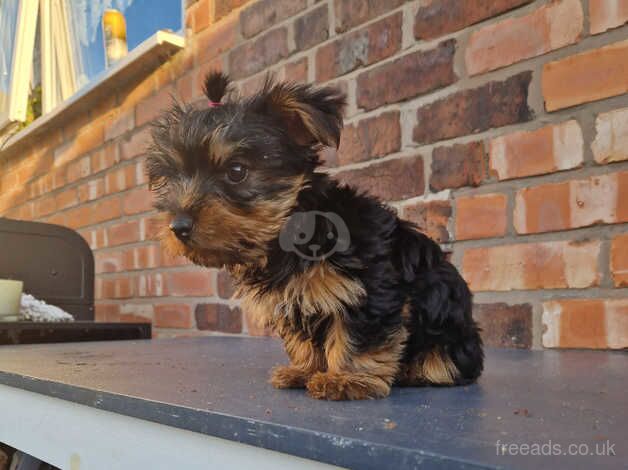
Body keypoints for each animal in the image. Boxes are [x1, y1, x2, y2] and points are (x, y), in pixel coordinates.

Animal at [148, 71, 486, 398]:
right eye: (173, 177)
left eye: (236, 171)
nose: (178, 225)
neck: (291, 232)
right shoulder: (294, 300)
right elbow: (303, 339)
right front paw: (305, 371)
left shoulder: (368, 289)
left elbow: (358, 335)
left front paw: (345, 379)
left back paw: (420, 370)